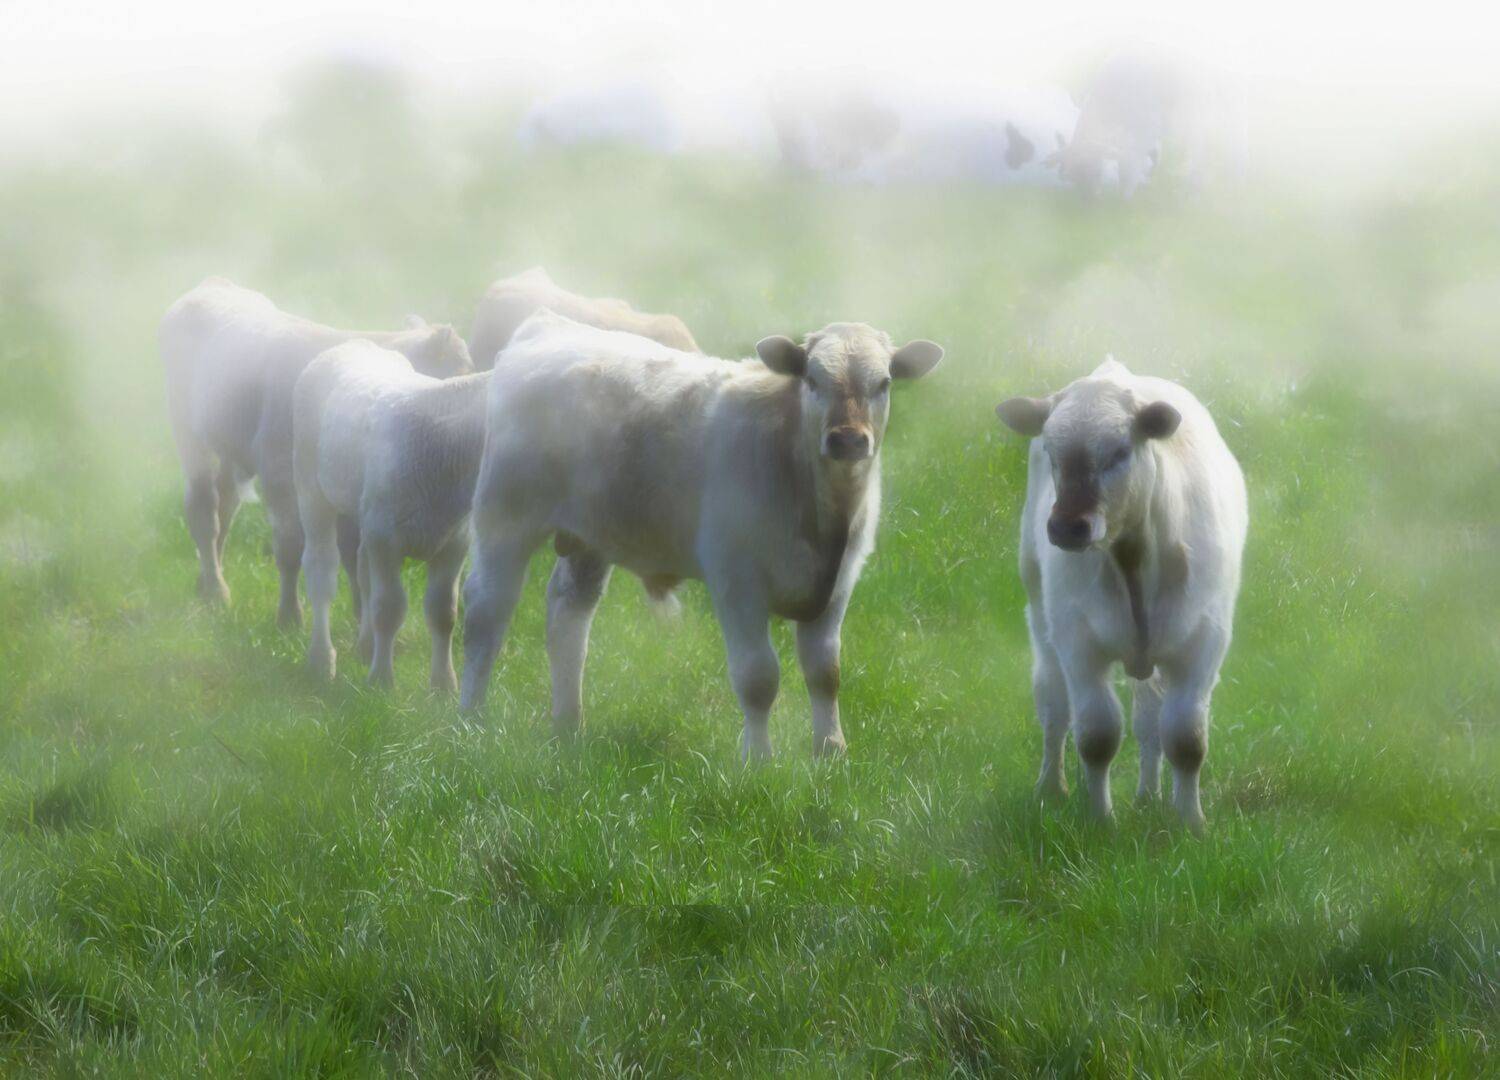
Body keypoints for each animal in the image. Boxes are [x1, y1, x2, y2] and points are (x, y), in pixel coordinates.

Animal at [159, 278, 471, 624]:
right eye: (461, 373)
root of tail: (212, 284)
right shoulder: (280, 476)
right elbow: (290, 546)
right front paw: (289, 615)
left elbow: (353, 556)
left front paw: (360, 617)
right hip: (187, 432)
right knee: (204, 510)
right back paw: (216, 590)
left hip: (230, 445)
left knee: (225, 507)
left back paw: (206, 581)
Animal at [293, 341, 490, 689]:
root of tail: (352, 343)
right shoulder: (387, 538)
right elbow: (389, 608)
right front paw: (381, 681)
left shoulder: (455, 542)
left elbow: (444, 613)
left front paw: (444, 684)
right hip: (311, 487)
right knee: (321, 570)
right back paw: (321, 659)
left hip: (367, 510)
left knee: (361, 568)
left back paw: (365, 645)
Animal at [459, 312, 943, 757]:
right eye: (812, 378)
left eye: (883, 382)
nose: (847, 440)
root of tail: (547, 326)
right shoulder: (737, 581)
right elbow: (757, 676)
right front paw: (758, 759)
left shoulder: (838, 585)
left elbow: (825, 673)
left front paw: (830, 750)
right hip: (505, 517)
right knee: (487, 610)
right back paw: (471, 719)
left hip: (591, 534)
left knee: (568, 615)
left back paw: (568, 725)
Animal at [995, 358, 1247, 831]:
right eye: (1052, 454)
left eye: (1119, 452)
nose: (1067, 527)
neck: (1133, 561)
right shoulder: (1079, 643)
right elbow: (1097, 735)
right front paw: (1100, 819)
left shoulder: (1203, 643)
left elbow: (1185, 738)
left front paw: (1191, 823)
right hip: (1040, 610)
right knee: (1054, 702)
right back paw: (1051, 787)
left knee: (1149, 719)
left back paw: (1149, 795)